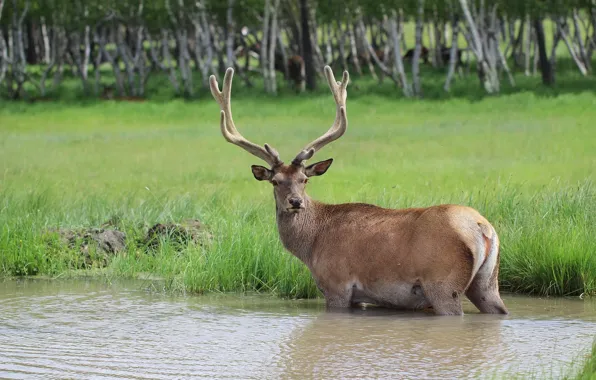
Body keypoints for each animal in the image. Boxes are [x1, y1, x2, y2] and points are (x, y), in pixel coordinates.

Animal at [208, 66, 508, 318]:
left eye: (304, 179)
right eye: (276, 181)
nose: (295, 202)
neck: (311, 244)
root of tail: (482, 227)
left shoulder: (337, 284)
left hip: (444, 283)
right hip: (488, 281)